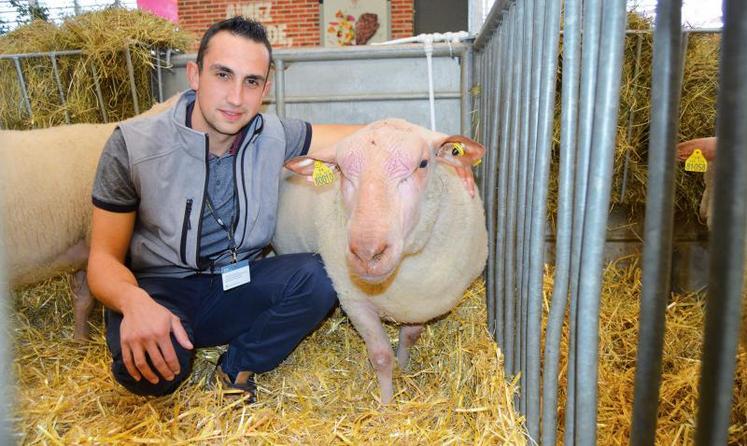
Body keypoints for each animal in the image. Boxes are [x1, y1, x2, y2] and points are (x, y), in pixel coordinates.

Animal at [274, 119, 490, 404]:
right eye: (340, 170)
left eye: (423, 163)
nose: (367, 254)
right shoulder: (354, 300)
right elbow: (380, 357)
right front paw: (387, 403)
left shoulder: (420, 303)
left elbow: (410, 338)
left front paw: (404, 367)